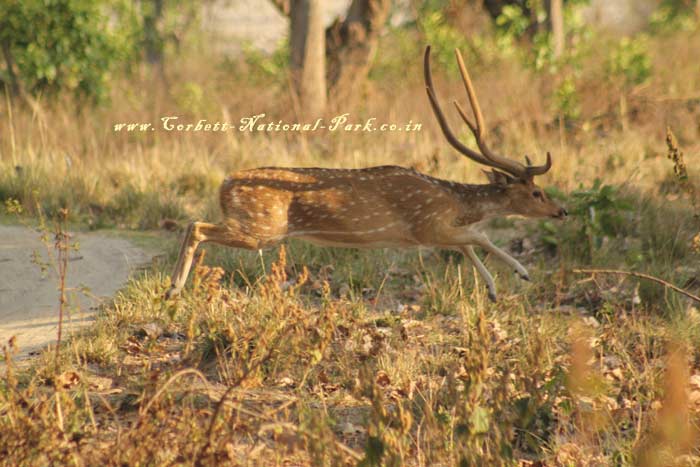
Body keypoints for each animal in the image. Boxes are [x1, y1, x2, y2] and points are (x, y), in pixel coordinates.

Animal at [165, 47, 568, 302]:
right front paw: (521, 272)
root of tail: (224, 185)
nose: (561, 211)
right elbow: (478, 237)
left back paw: (173, 287)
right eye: (536, 192)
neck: (453, 201)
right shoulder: (424, 226)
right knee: (196, 226)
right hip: (262, 229)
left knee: (194, 224)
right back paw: (174, 288)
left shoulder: (433, 231)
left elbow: (468, 243)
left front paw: (494, 290)